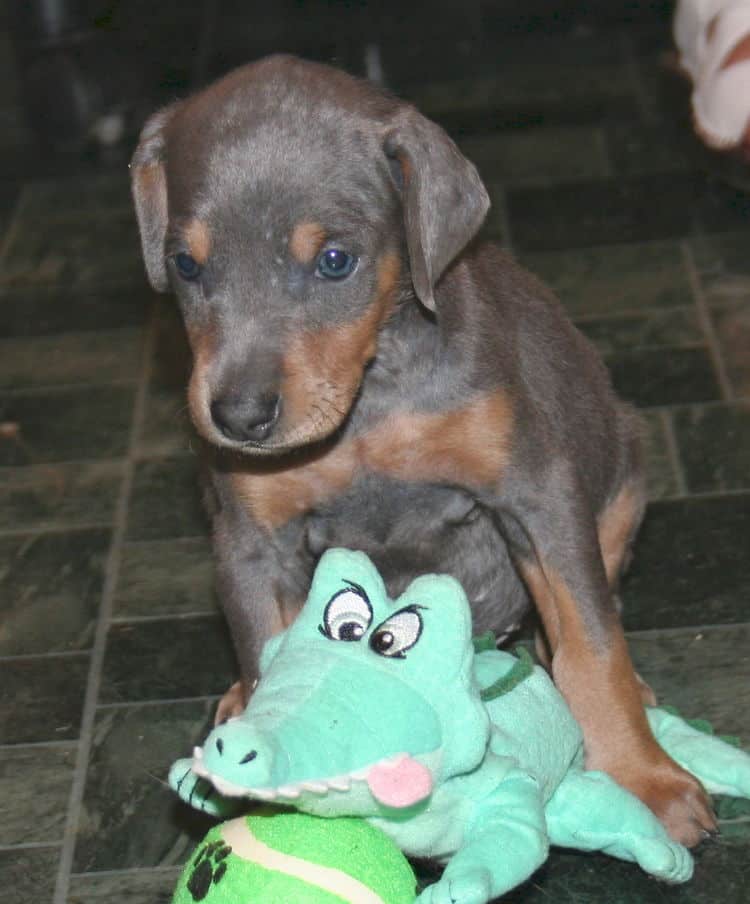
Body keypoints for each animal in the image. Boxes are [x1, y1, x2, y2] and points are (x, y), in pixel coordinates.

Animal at [131, 54, 716, 848]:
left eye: (336, 260)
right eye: (187, 266)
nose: (238, 418)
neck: (368, 400)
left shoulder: (536, 494)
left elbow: (592, 647)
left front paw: (645, 780)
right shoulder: (250, 542)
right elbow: (268, 665)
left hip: (623, 467)